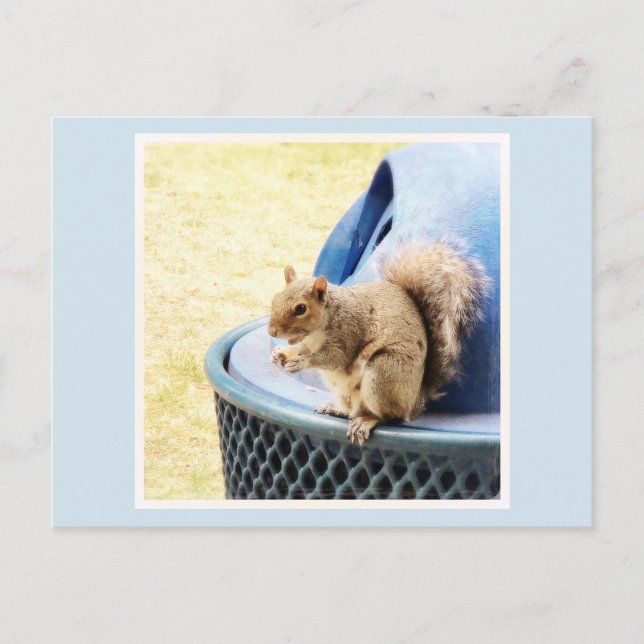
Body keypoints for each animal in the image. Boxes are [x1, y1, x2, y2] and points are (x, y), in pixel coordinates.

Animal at [268, 242, 490, 445]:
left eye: (301, 308)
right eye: (275, 298)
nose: (271, 331)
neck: (317, 330)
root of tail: (414, 400)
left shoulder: (348, 333)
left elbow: (335, 358)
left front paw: (301, 362)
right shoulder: (308, 343)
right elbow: (299, 348)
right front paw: (280, 354)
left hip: (384, 372)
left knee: (389, 416)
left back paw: (367, 420)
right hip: (345, 391)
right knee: (353, 411)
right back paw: (336, 409)